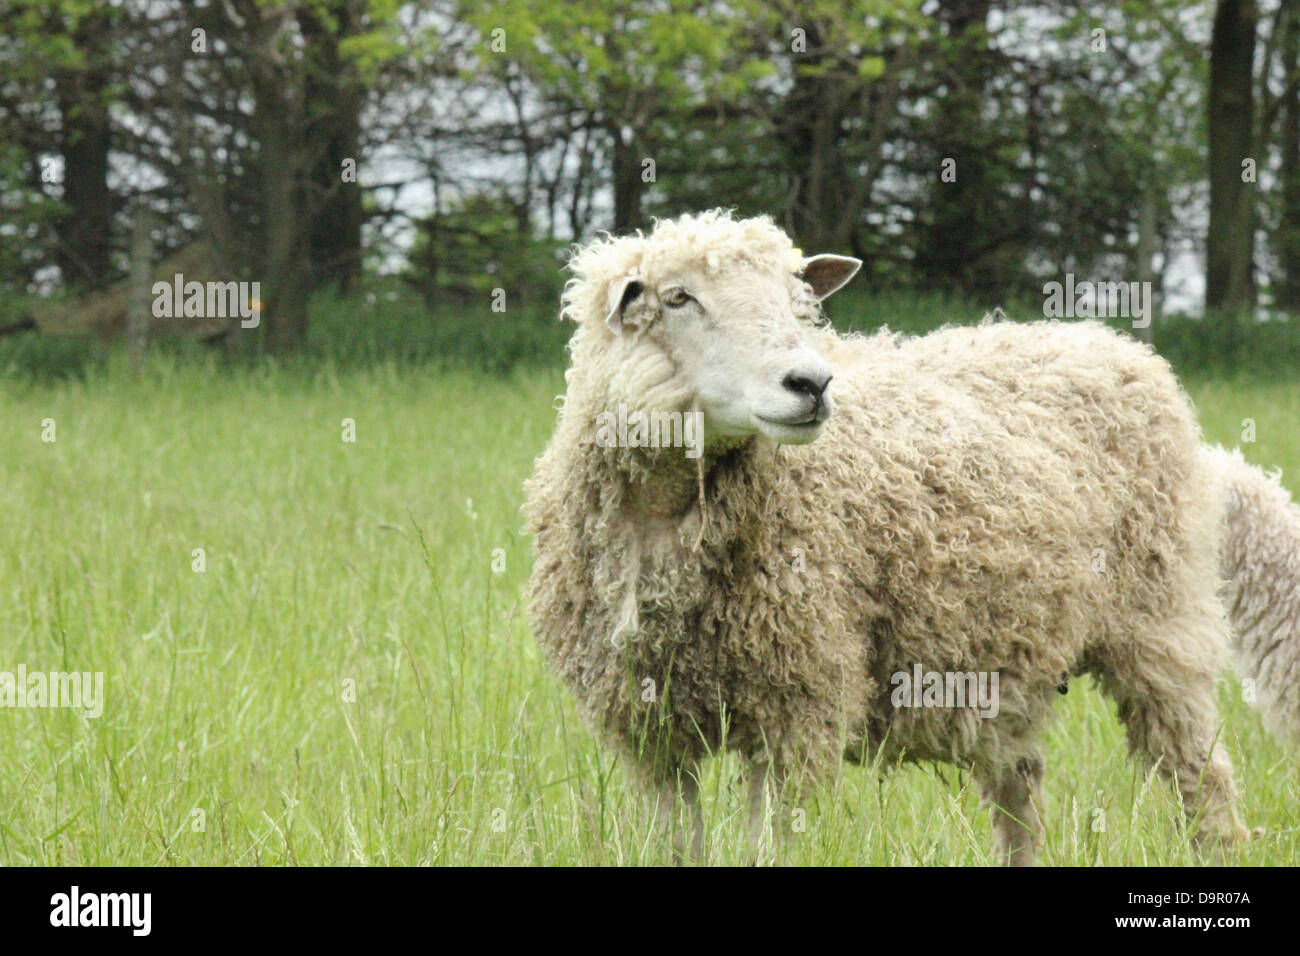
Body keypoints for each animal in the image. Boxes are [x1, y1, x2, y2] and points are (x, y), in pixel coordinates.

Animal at [522, 209, 1294, 868]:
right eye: (678, 298)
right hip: (1009, 665)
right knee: (1021, 796)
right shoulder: (646, 735)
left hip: (1161, 624)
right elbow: (675, 845)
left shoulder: (797, 709)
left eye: (799, 300)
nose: (811, 383)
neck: (662, 521)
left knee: (1203, 776)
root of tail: (1113, 343)